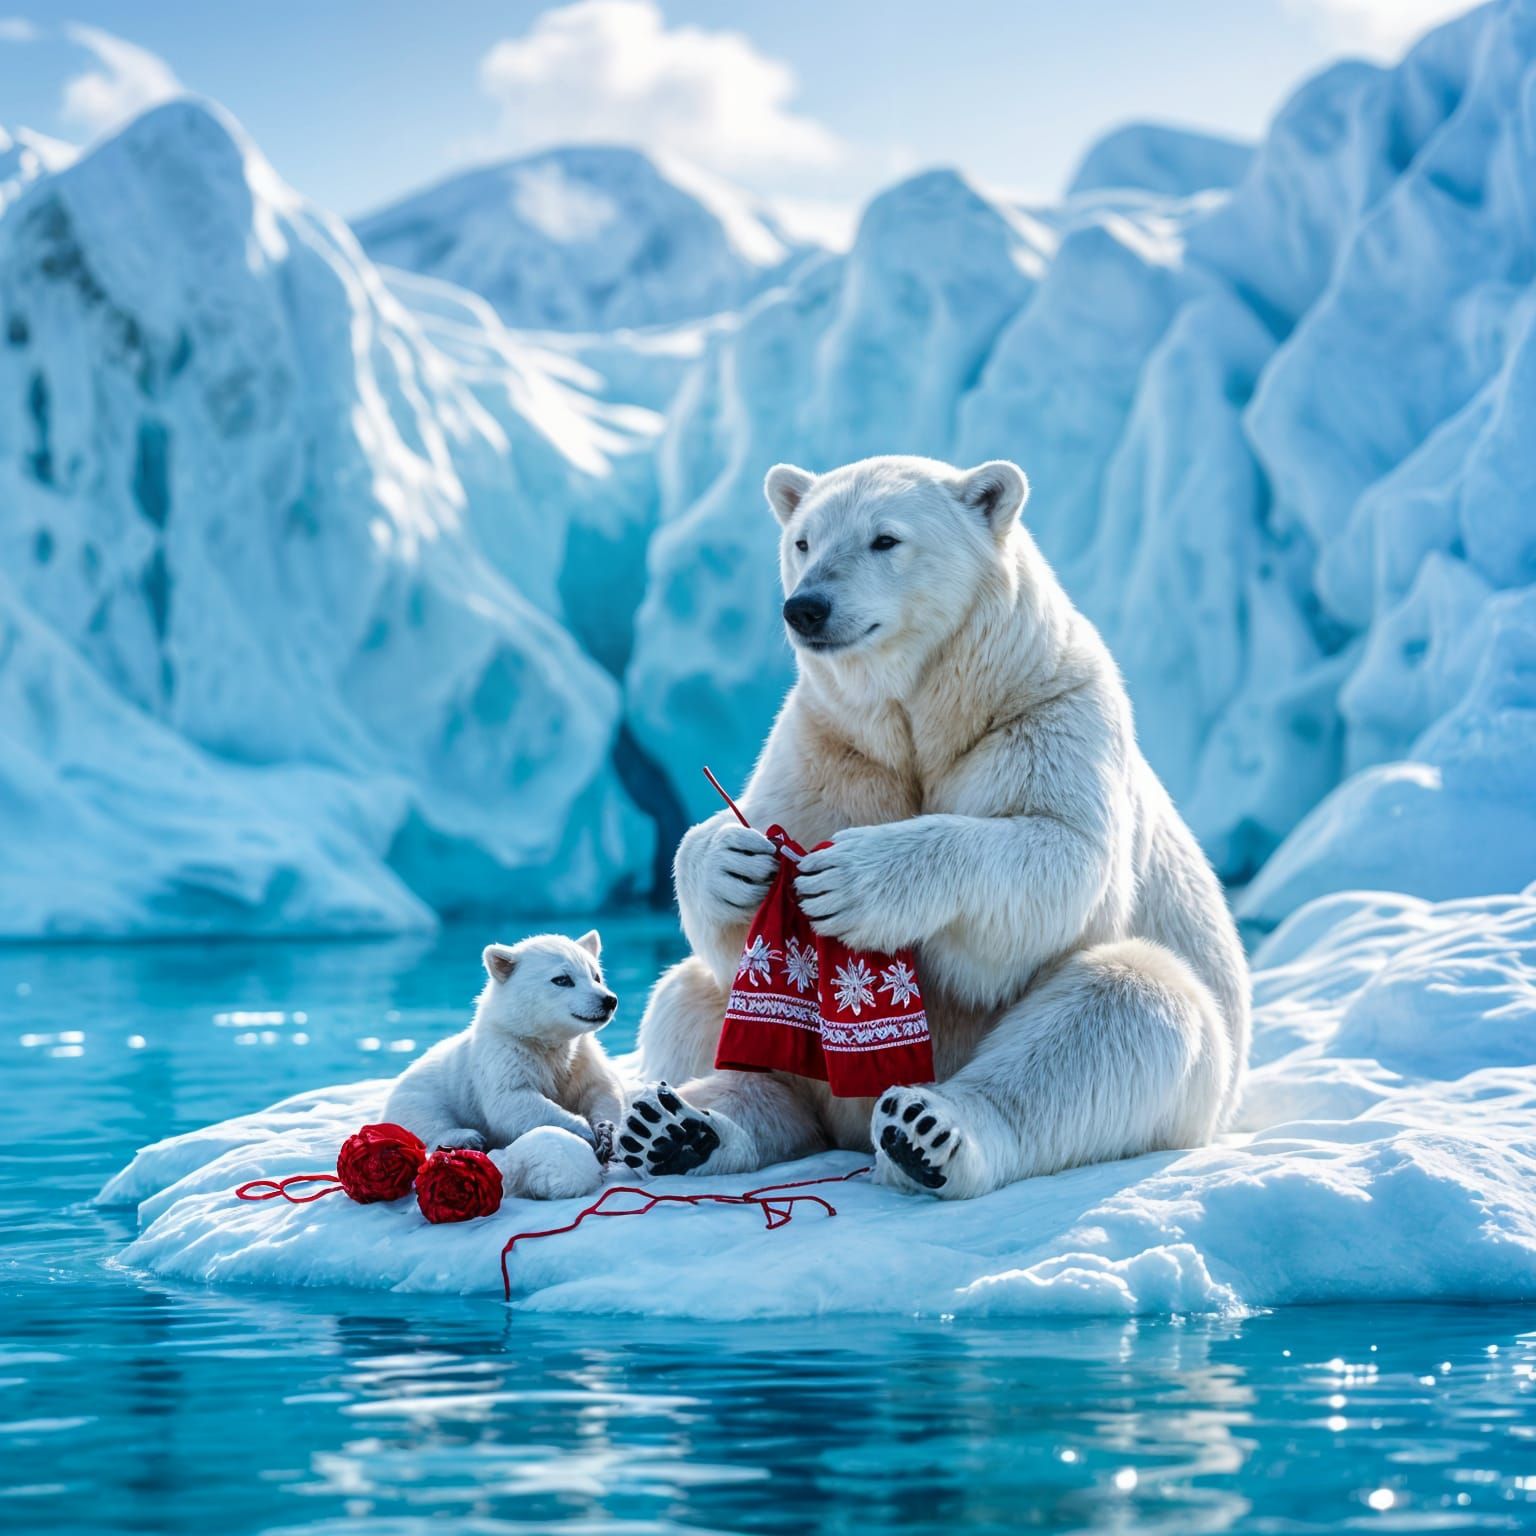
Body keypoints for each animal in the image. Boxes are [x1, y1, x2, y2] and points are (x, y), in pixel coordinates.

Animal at [382, 931, 627, 1200]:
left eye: (596, 975)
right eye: (562, 979)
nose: (609, 1000)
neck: (544, 1042)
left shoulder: (581, 1057)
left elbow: (601, 1090)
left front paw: (606, 1133)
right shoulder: (504, 1054)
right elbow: (511, 1102)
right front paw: (584, 1131)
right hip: (418, 1093)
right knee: (426, 1118)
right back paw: (467, 1138)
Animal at [619, 454, 1250, 1199]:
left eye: (884, 538)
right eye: (803, 540)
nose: (807, 606)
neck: (938, 707)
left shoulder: (1049, 715)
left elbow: (1063, 859)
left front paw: (854, 880)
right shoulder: (831, 743)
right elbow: (734, 918)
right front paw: (731, 861)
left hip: (1193, 1083)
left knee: (1124, 1005)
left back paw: (927, 1130)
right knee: (688, 1001)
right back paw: (681, 1126)